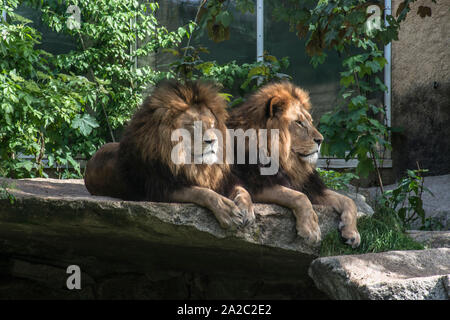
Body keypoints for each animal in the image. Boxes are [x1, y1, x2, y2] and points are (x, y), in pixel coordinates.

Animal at [84, 81, 253, 229]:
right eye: (193, 125)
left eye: (212, 124)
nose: (212, 140)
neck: (193, 164)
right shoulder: (160, 188)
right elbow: (202, 192)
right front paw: (228, 212)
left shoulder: (224, 181)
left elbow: (243, 190)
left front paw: (246, 209)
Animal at [227, 81, 360, 249]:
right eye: (298, 123)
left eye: (310, 121)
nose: (321, 140)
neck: (288, 162)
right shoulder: (258, 184)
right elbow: (299, 197)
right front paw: (311, 230)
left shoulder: (310, 186)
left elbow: (349, 201)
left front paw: (352, 232)